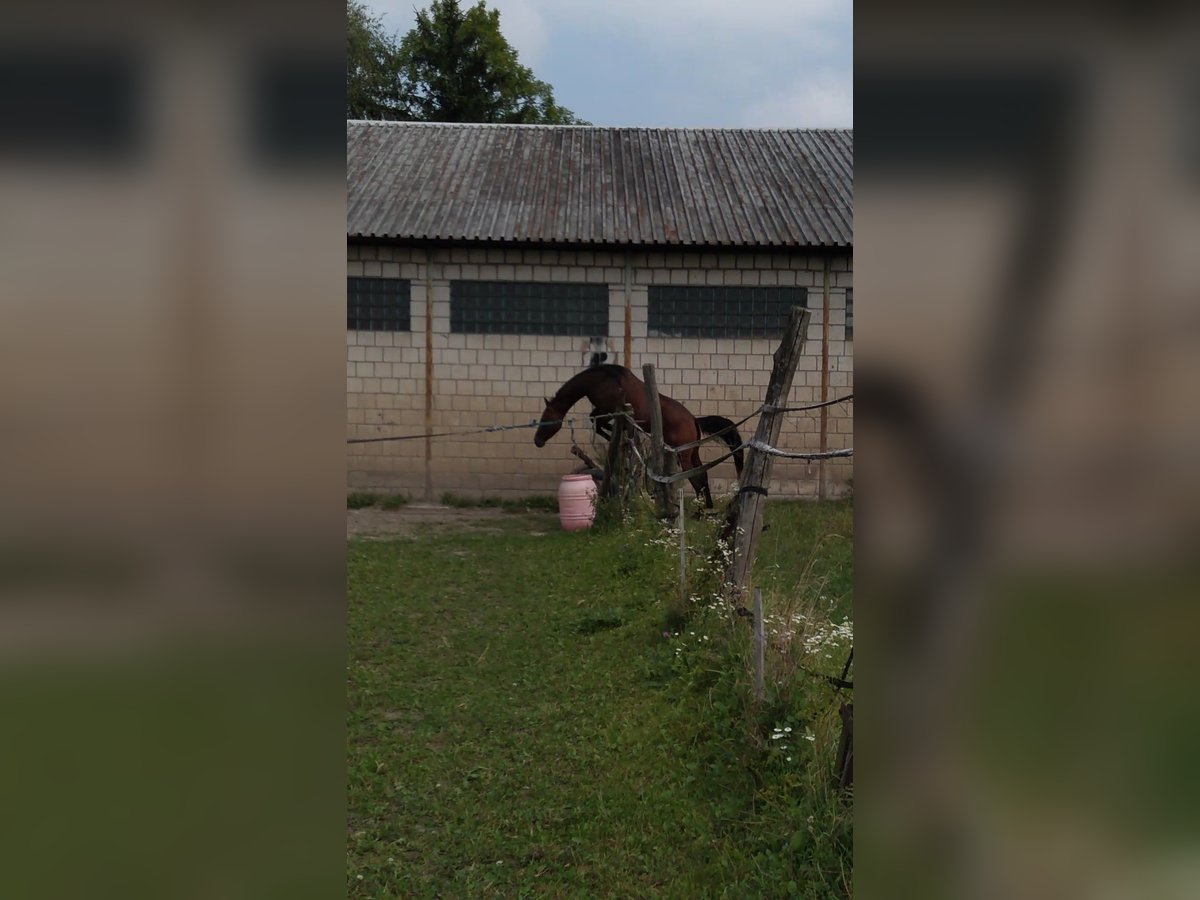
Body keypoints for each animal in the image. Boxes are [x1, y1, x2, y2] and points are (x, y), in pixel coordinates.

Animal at [532, 364, 739, 508]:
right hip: (691, 452)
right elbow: (597, 421)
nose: (537, 441)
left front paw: (614, 434)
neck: (600, 379)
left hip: (684, 455)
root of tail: (693, 420)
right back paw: (705, 508)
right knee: (702, 474)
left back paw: (699, 511)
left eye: (545, 419)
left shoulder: (608, 409)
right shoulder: (605, 410)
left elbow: (598, 422)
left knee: (696, 477)